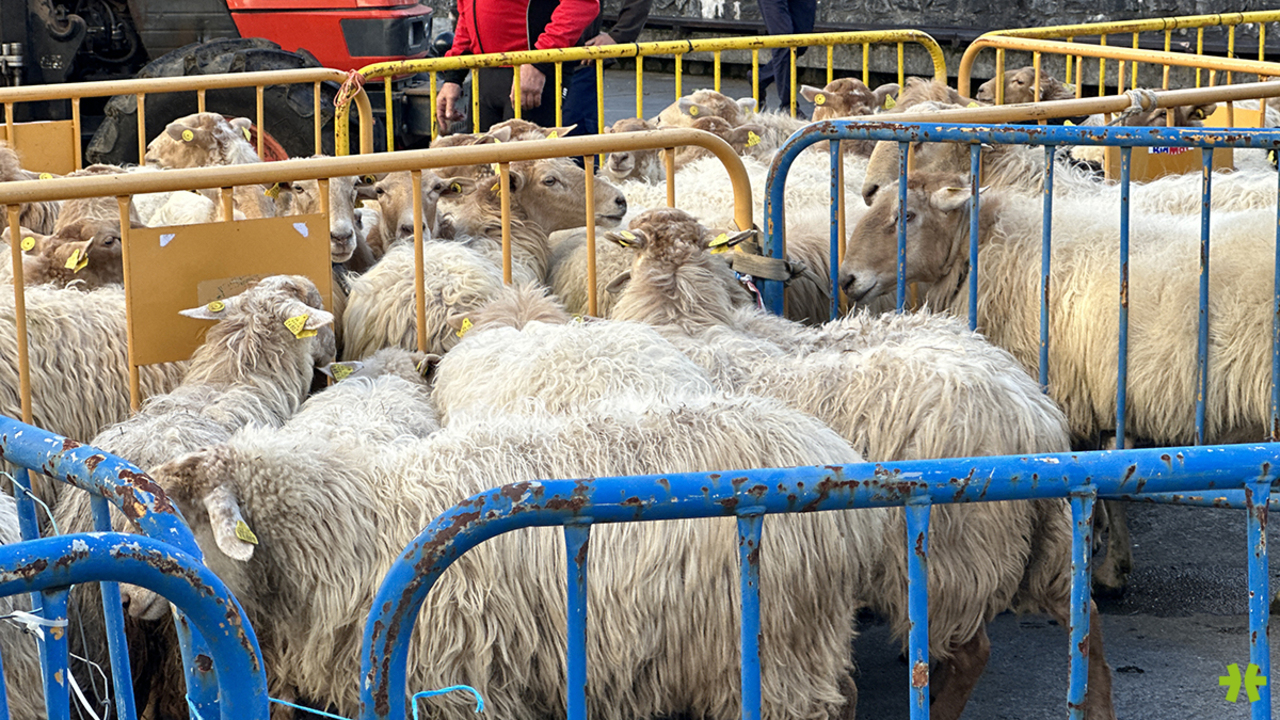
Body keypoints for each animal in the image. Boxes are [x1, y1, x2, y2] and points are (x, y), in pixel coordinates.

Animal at [605, 207, 1116, 720]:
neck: (684, 313)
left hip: (947, 551)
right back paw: (1097, 706)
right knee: (1082, 616)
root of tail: (1033, 412)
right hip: (1049, 529)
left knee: (973, 652)